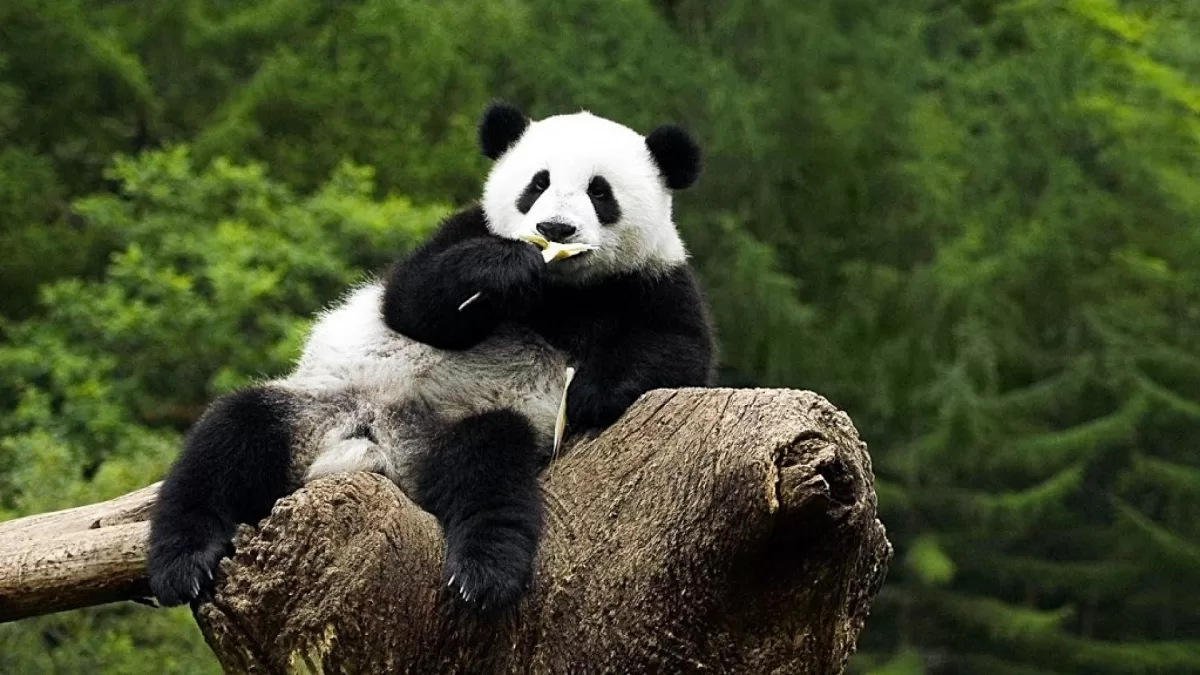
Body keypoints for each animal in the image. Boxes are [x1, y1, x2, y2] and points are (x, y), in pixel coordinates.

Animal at [146, 101, 717, 612]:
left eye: (600, 192)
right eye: (537, 184)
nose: (554, 230)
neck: (560, 289)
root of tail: (376, 444)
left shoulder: (652, 280)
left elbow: (679, 352)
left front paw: (589, 393)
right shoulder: (463, 230)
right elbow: (411, 301)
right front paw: (504, 268)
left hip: (463, 425)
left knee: (487, 470)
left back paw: (484, 573)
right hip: (317, 405)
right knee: (229, 438)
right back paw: (183, 562)